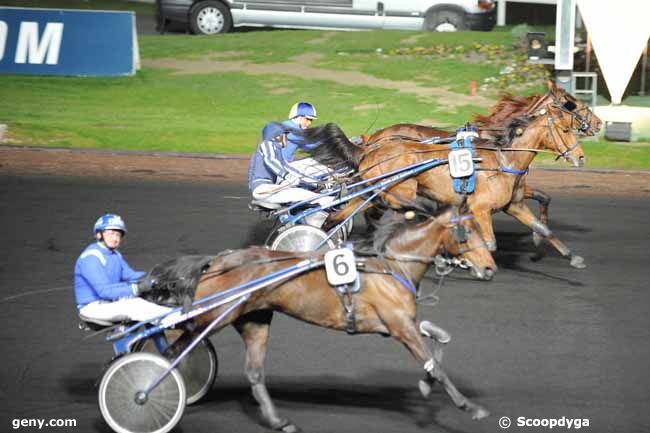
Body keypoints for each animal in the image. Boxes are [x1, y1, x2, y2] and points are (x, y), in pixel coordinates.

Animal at [158, 208, 496, 430]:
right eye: (468, 233)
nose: (490, 268)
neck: (391, 267)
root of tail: (217, 261)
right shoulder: (400, 326)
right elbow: (436, 366)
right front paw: (471, 406)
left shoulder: (403, 325)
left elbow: (438, 341)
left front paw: (425, 386)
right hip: (212, 317)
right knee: (172, 349)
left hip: (254, 320)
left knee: (253, 373)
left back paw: (279, 420)